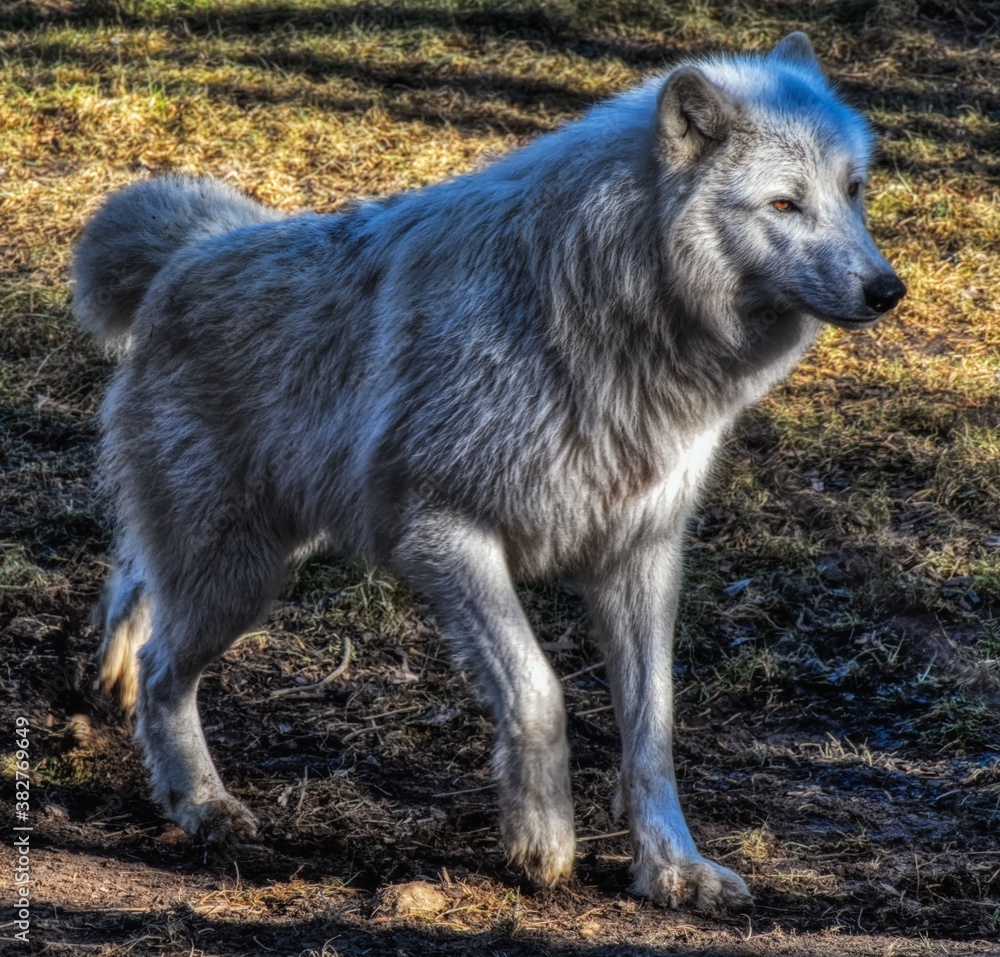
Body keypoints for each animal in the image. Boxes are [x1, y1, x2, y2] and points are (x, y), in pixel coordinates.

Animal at [73, 32, 904, 913]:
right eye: (784, 205)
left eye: (853, 190)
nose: (887, 289)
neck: (606, 318)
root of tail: (186, 254)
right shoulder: (445, 533)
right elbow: (538, 691)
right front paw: (543, 843)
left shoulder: (639, 555)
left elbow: (653, 731)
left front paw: (674, 869)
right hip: (241, 578)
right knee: (167, 669)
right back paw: (200, 800)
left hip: (240, 556)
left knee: (136, 580)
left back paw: (112, 675)